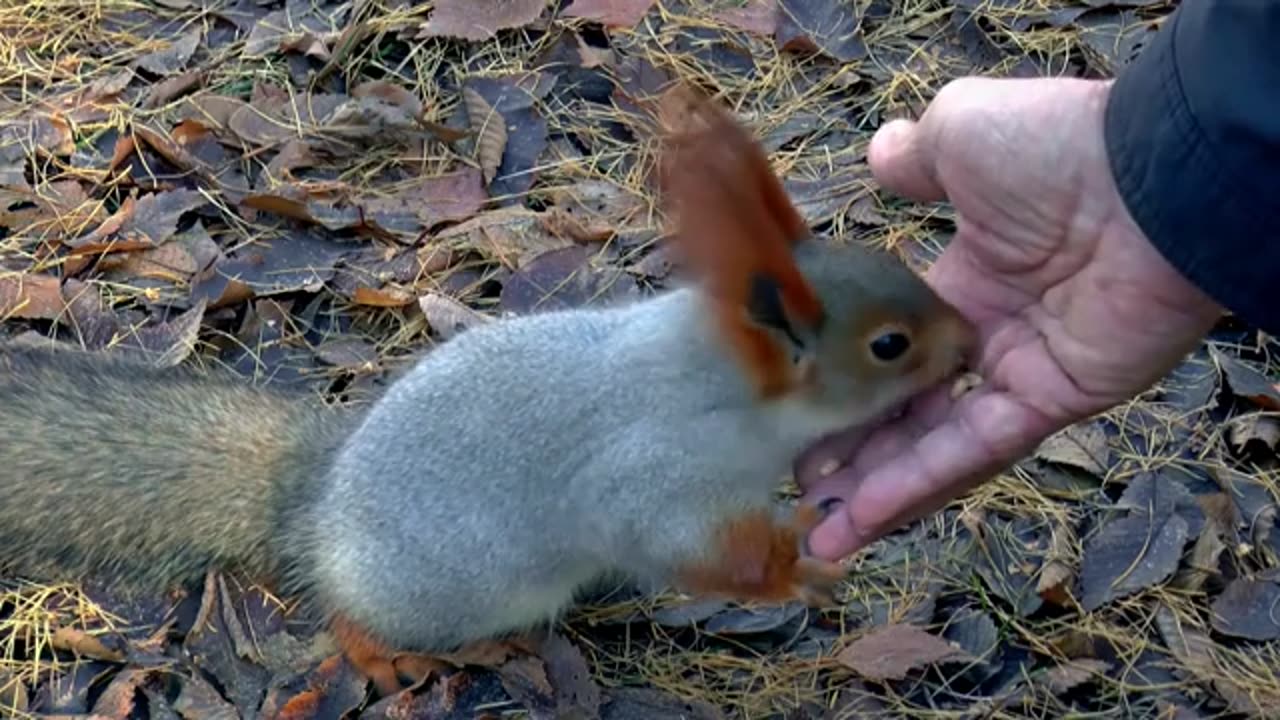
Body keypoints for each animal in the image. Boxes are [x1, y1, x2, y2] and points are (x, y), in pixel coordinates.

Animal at [0, 87, 977, 691]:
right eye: (889, 345)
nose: (970, 345)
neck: (720, 383)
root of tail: (314, 509)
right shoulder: (650, 476)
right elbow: (683, 548)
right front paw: (794, 563)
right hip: (439, 590)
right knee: (350, 612)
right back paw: (382, 653)